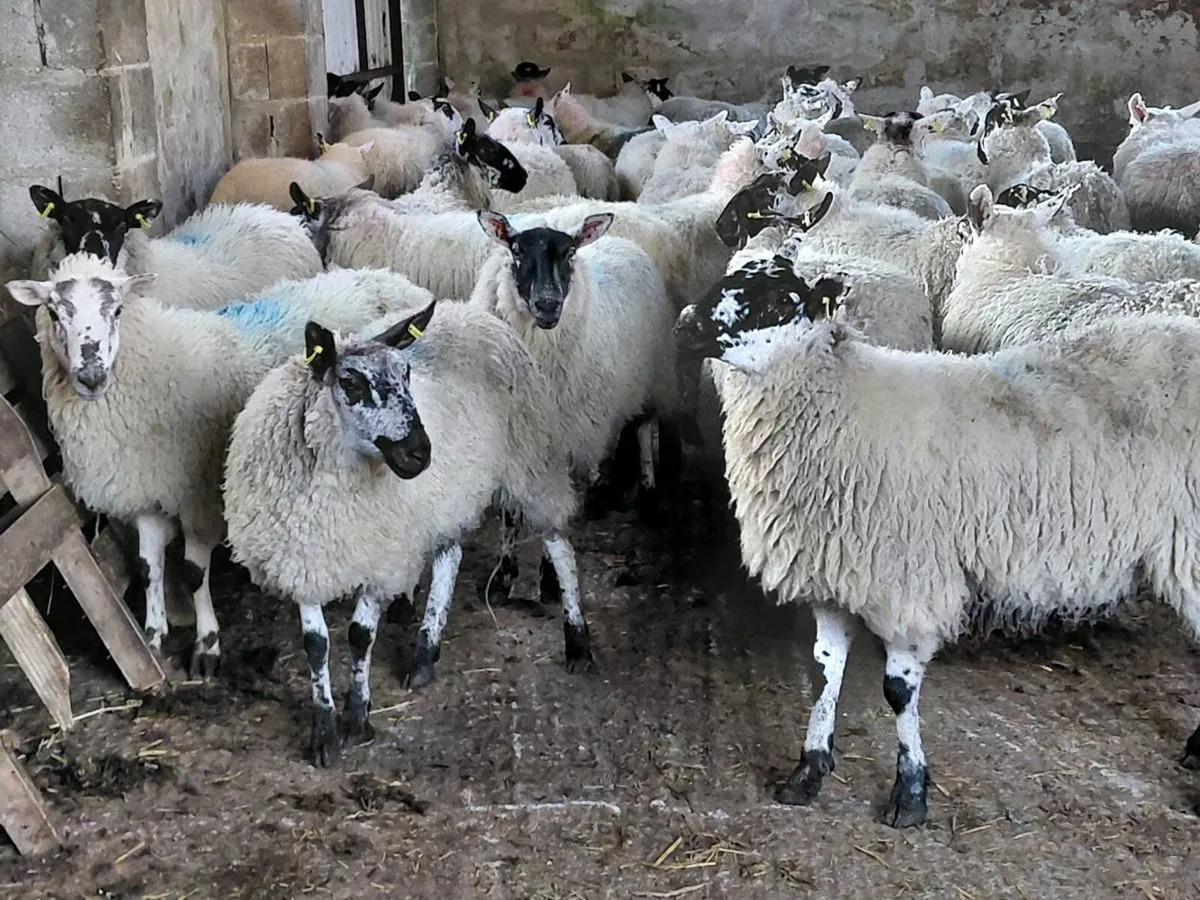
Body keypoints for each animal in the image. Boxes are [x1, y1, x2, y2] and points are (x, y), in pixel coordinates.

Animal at [3, 256, 429, 677]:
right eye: (54, 313)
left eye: (118, 310)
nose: (91, 377)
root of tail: (387, 276)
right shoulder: (146, 493)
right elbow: (148, 567)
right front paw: (153, 637)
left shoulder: (200, 498)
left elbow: (193, 574)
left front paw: (207, 646)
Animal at [222, 299, 585, 766]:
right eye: (351, 381)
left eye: (407, 374)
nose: (421, 453)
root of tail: (464, 310)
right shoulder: (304, 558)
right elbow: (316, 645)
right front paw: (324, 732)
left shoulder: (383, 557)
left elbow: (360, 637)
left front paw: (357, 718)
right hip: (448, 495)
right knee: (450, 558)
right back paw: (425, 654)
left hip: (533, 459)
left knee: (560, 545)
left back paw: (577, 641)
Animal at [675, 266, 1200, 827]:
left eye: (776, 301)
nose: (684, 325)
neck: (843, 403)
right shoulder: (835, 571)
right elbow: (823, 672)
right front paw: (809, 770)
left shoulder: (909, 583)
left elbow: (897, 691)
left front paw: (910, 792)